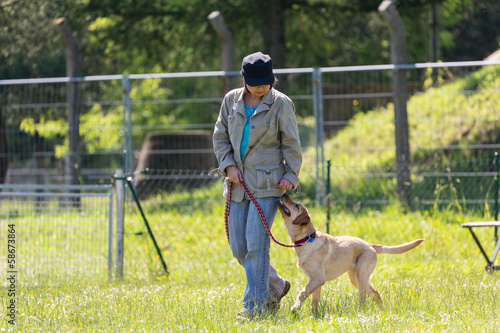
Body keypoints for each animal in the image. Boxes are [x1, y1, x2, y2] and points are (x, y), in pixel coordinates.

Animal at [276, 192, 424, 312]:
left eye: (296, 206)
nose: (284, 194)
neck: (306, 239)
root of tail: (370, 245)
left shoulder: (317, 278)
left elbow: (302, 293)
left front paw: (295, 307)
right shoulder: (315, 281)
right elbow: (314, 302)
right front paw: (314, 316)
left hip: (361, 277)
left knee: (363, 299)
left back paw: (360, 313)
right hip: (355, 278)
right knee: (375, 293)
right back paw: (382, 311)